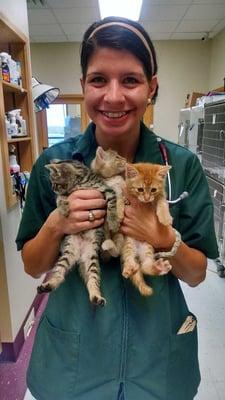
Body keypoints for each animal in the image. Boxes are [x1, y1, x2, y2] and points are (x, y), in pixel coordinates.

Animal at [121, 162, 172, 296]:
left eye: (153, 189)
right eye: (140, 189)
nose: (147, 198)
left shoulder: (161, 195)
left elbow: (162, 202)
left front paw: (165, 217)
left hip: (148, 248)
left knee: (145, 266)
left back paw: (158, 268)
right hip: (128, 244)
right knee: (130, 259)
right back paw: (129, 268)